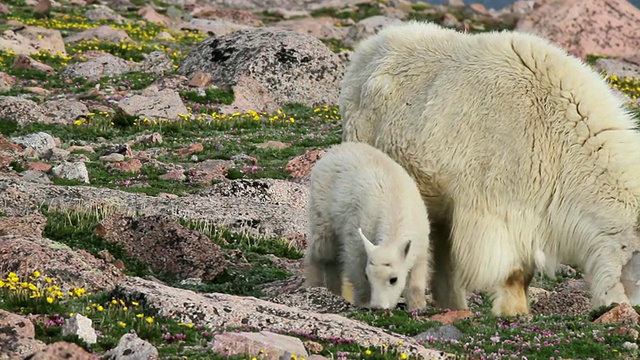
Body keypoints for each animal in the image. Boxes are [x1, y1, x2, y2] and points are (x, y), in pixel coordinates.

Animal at [302, 141, 432, 310]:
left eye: (393, 279)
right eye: (368, 276)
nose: (379, 307)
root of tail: (334, 149)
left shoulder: (420, 237)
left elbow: (417, 269)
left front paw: (418, 305)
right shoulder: (360, 228)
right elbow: (356, 260)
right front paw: (364, 302)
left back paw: (334, 291)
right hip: (322, 206)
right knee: (322, 248)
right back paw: (315, 285)